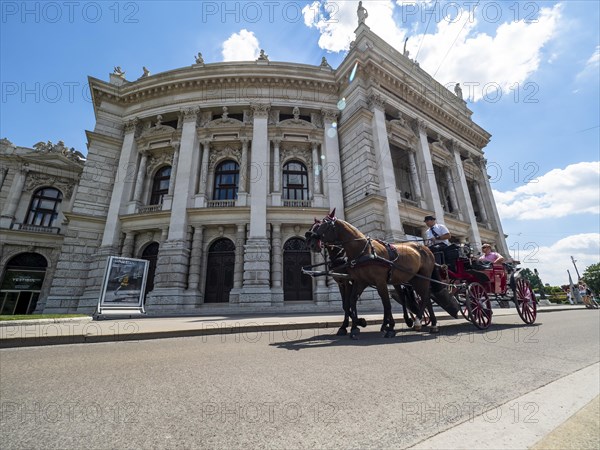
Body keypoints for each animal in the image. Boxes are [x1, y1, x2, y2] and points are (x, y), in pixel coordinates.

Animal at [310, 210, 454, 338]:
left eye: (325, 224)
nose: (311, 242)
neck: (363, 251)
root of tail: (426, 248)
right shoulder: (358, 281)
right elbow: (350, 302)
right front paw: (355, 326)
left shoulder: (375, 281)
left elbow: (385, 303)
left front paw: (388, 327)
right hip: (412, 279)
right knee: (422, 297)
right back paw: (427, 323)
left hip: (422, 277)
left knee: (423, 296)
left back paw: (418, 321)